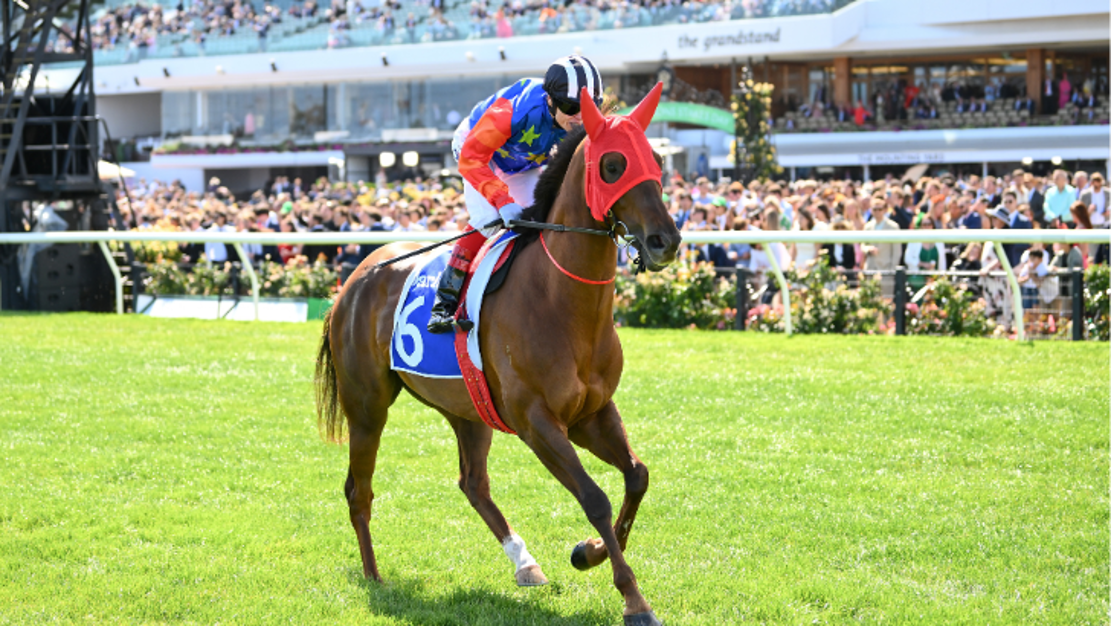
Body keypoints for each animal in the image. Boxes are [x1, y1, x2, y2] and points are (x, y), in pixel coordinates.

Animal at [315, 84, 681, 626]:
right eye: (612, 165)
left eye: (655, 160)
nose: (665, 241)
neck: (560, 301)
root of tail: (355, 276)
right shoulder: (537, 421)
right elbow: (593, 496)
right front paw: (633, 599)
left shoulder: (591, 414)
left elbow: (637, 476)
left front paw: (588, 552)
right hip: (367, 408)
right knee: (360, 490)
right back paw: (375, 577)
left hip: (467, 407)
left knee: (474, 483)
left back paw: (525, 563)